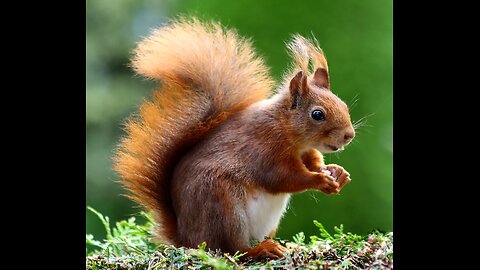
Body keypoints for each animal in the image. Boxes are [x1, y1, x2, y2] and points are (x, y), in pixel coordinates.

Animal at [114, 16, 354, 260]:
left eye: (343, 105)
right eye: (317, 114)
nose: (349, 135)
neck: (286, 130)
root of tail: (186, 238)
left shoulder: (305, 151)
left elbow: (314, 162)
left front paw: (337, 173)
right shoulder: (264, 148)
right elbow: (283, 178)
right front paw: (320, 180)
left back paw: (287, 246)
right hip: (223, 207)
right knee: (232, 249)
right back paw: (261, 249)